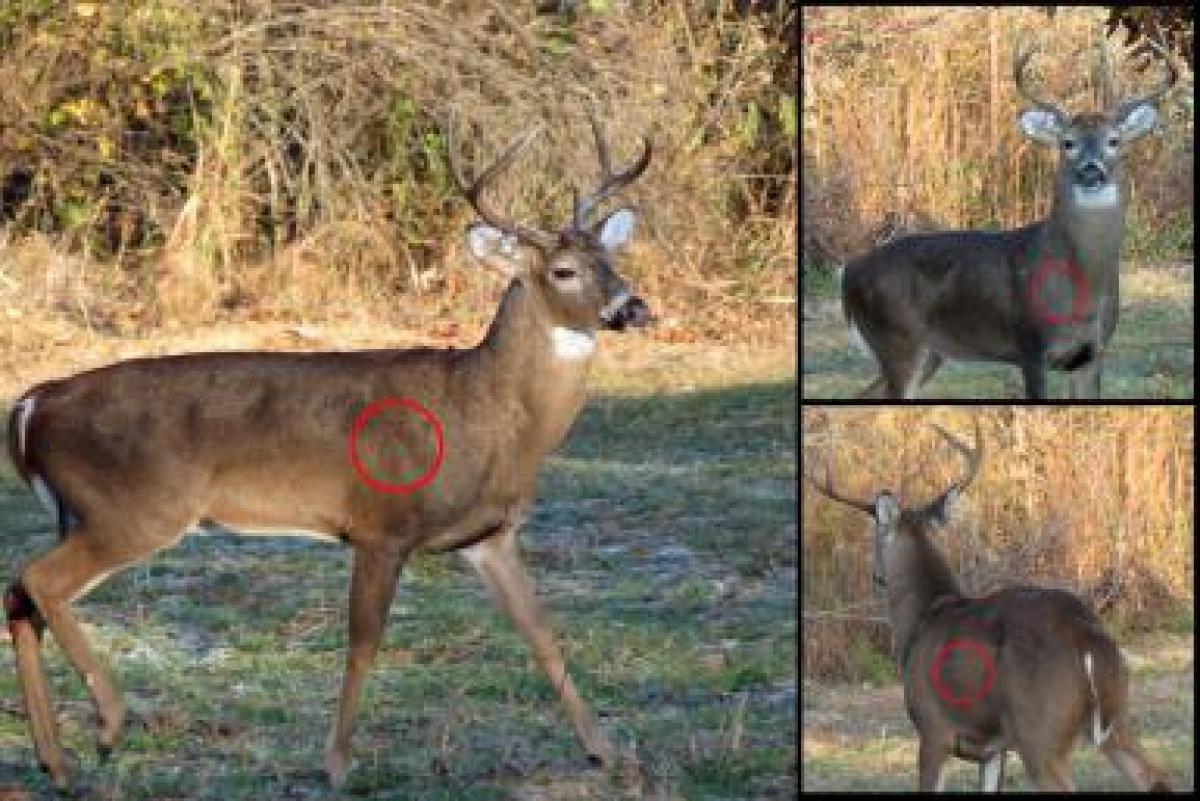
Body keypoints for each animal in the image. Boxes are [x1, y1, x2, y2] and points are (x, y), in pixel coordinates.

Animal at [3, 114, 651, 790]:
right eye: (564, 271)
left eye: (611, 260)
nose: (634, 306)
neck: (486, 413)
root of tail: (31, 404)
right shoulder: (381, 525)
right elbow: (364, 643)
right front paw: (336, 763)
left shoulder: (488, 536)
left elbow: (543, 633)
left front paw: (607, 752)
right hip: (135, 508)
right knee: (39, 580)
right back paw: (107, 724)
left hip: (83, 512)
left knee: (21, 596)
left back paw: (56, 761)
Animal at [805, 419, 1173, 791]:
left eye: (874, 538)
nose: (876, 576)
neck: (923, 617)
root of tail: (1086, 636)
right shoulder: (994, 748)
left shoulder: (933, 729)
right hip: (1118, 717)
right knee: (1155, 775)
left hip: (1041, 734)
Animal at [839, 42, 1176, 399]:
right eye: (1067, 142)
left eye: (1114, 141)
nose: (1090, 170)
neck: (1081, 288)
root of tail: (848, 272)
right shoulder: (1030, 345)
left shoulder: (1093, 353)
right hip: (897, 339)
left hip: (928, 352)